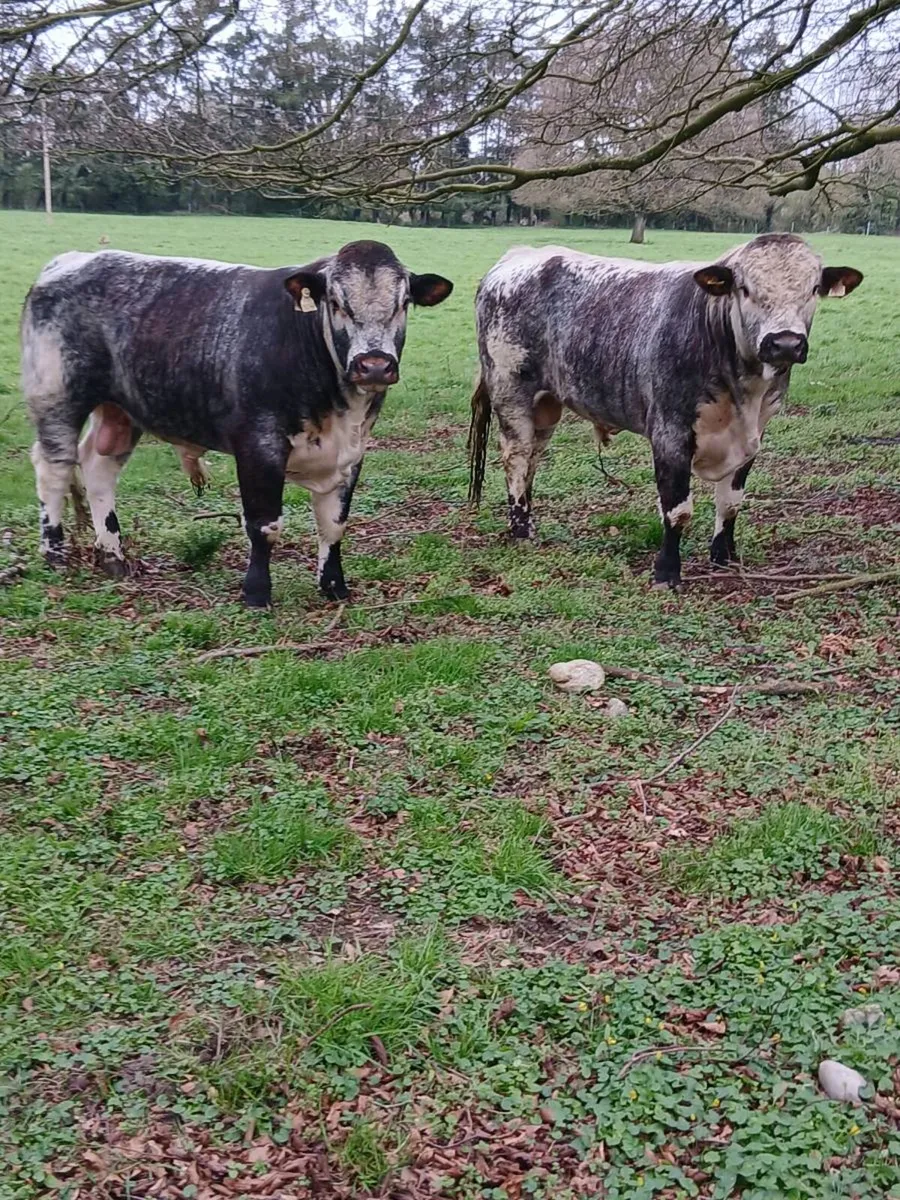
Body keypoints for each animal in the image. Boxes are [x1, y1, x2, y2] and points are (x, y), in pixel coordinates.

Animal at [22, 241, 453, 607]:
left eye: (403, 303)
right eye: (335, 302)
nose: (374, 365)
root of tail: (70, 261)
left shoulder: (352, 451)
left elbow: (333, 524)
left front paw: (334, 587)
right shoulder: (258, 446)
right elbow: (264, 524)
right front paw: (257, 593)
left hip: (120, 411)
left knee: (99, 467)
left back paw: (112, 555)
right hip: (56, 396)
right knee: (54, 468)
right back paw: (55, 552)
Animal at [468, 233, 862, 588]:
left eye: (813, 288)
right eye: (745, 289)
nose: (785, 343)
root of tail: (518, 256)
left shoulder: (754, 435)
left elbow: (731, 502)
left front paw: (723, 556)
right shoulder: (670, 433)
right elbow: (677, 510)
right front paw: (667, 572)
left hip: (547, 404)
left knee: (533, 457)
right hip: (511, 392)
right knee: (517, 457)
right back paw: (520, 528)